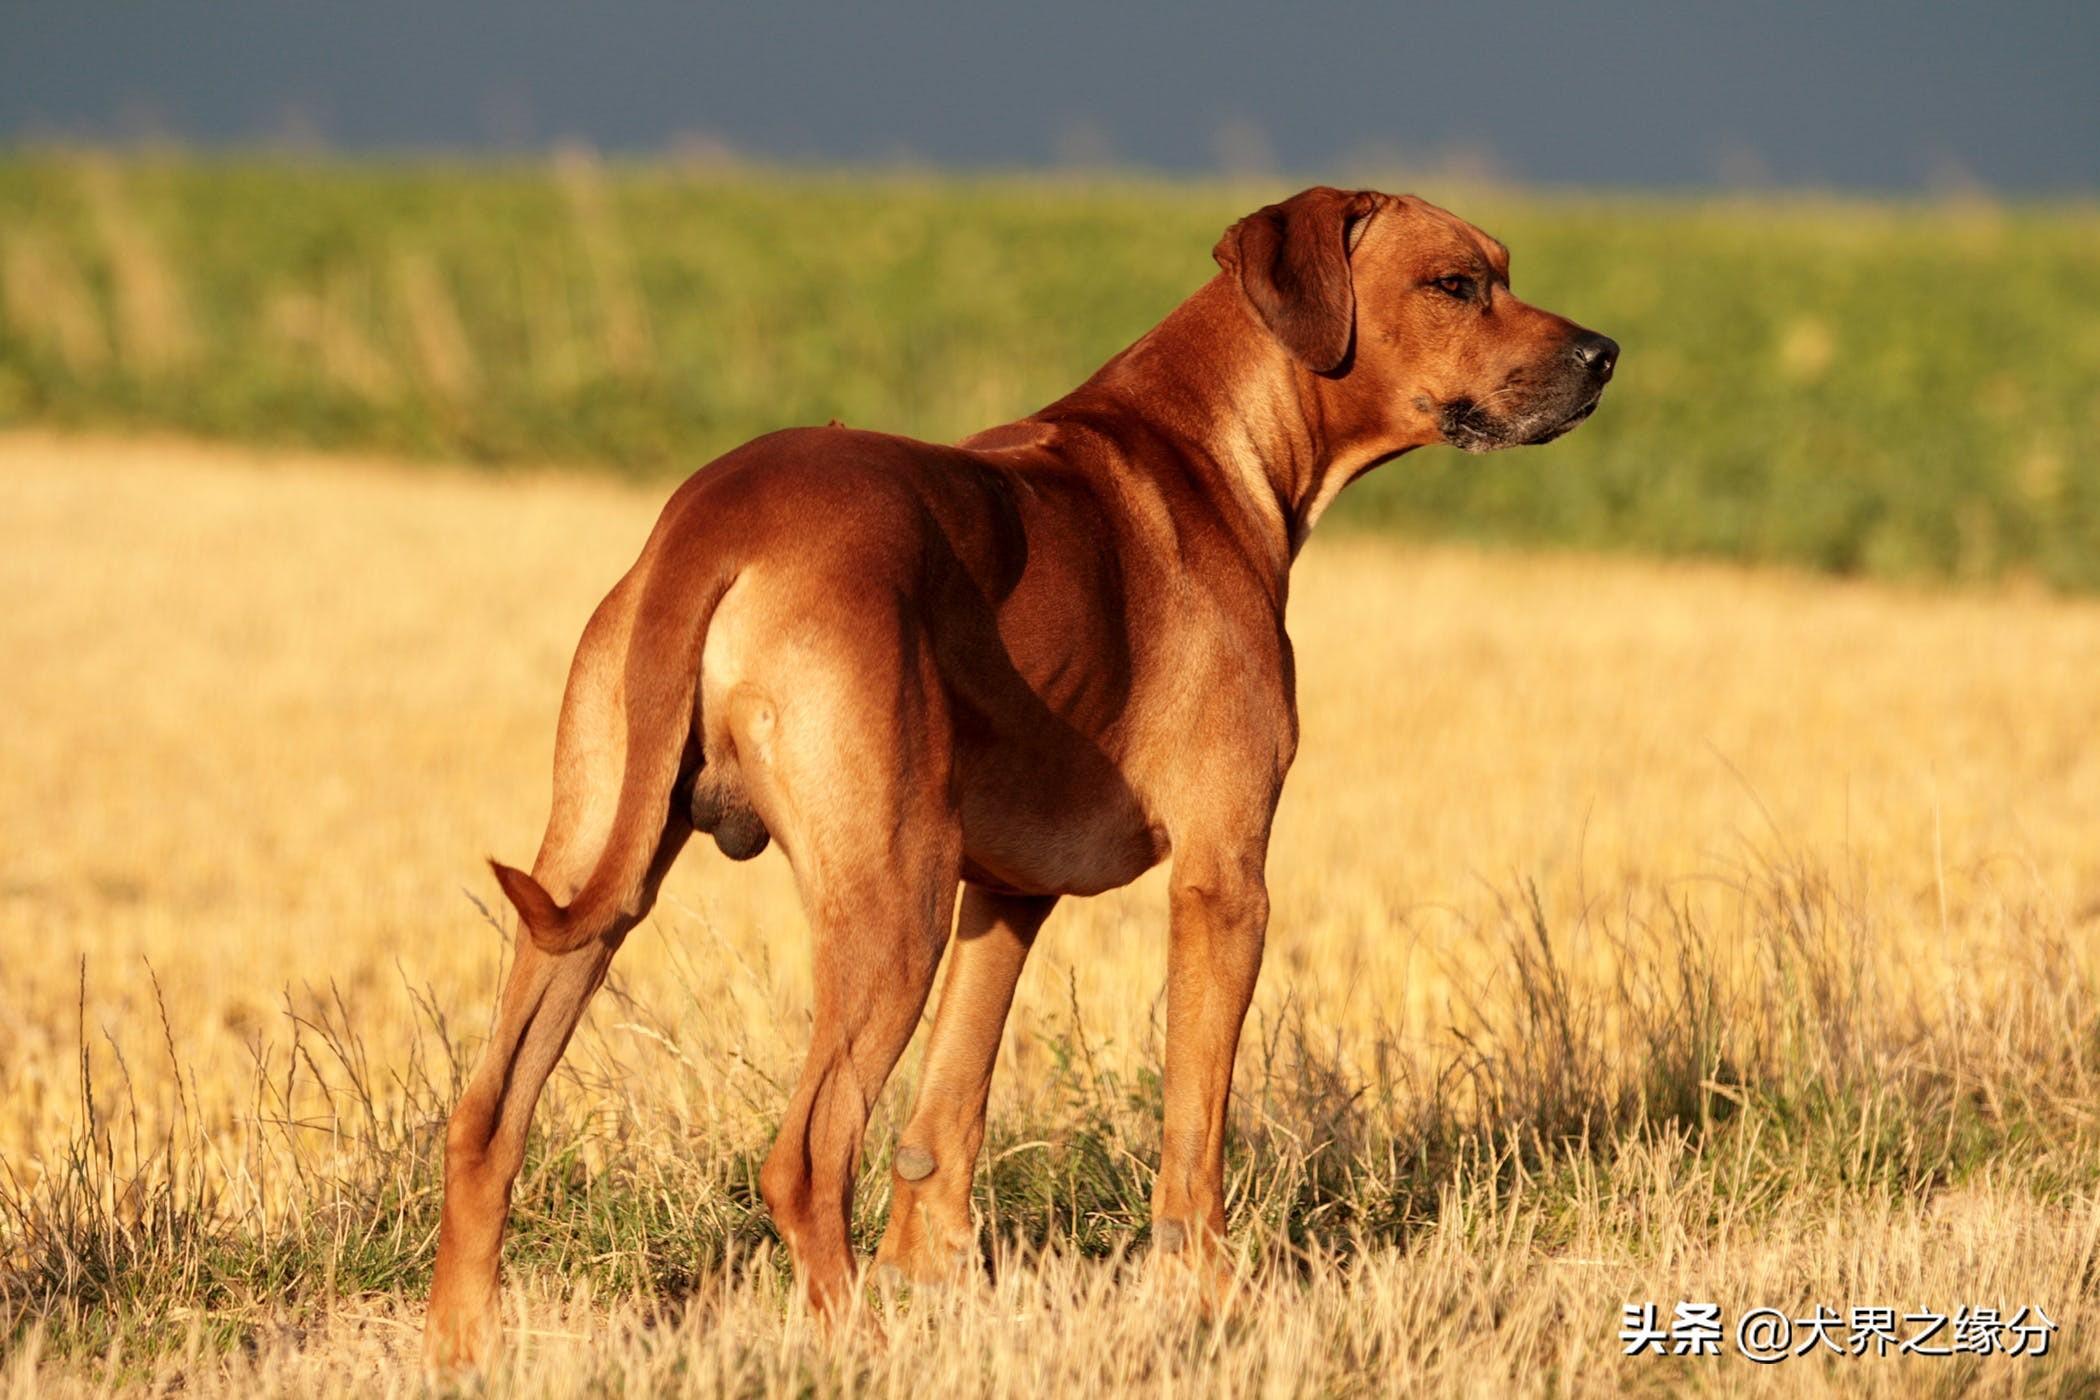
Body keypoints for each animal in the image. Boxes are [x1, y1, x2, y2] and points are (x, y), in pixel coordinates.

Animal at [417, 185, 1612, 1368]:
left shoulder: (1006, 892)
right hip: (893, 902)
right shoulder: (1225, 881)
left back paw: (465, 1348)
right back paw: (857, 1349)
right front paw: (1215, 1303)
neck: (1209, 438)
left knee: (487, 1121)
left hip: (598, 873)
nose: (1604, 354)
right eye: (1457, 282)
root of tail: (714, 519)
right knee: (805, 1155)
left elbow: (944, 1118)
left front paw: (934, 1281)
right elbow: (1195, 1134)